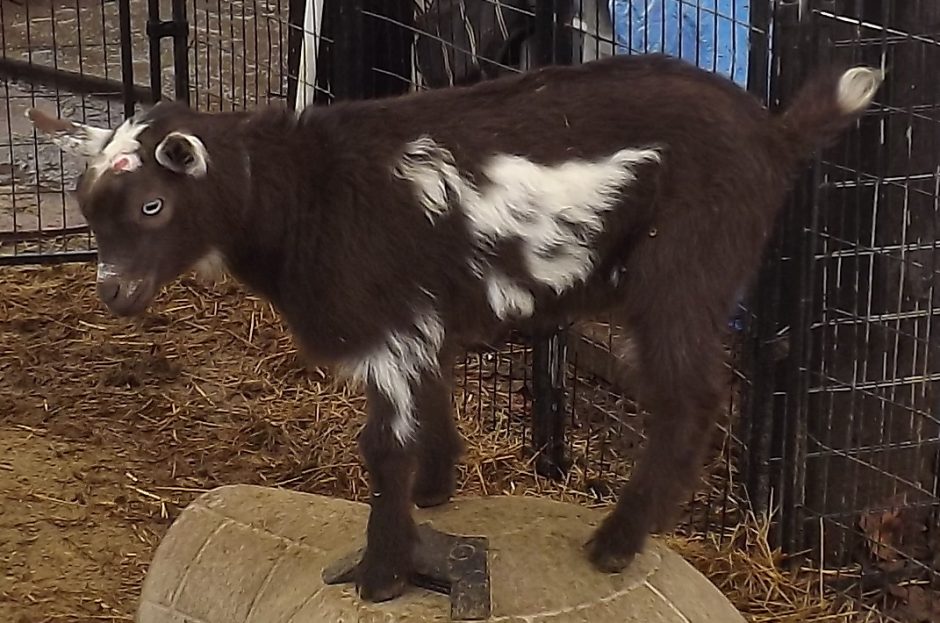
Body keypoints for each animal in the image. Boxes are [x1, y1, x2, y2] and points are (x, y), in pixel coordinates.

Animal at [28, 53, 882, 603]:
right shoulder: (415, 324)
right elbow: (432, 401)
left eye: (151, 205)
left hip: (687, 265)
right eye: (87, 209)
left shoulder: (385, 325)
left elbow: (382, 448)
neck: (302, 194)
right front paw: (438, 489)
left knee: (690, 396)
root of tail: (774, 137)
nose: (114, 293)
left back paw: (616, 541)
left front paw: (382, 575)